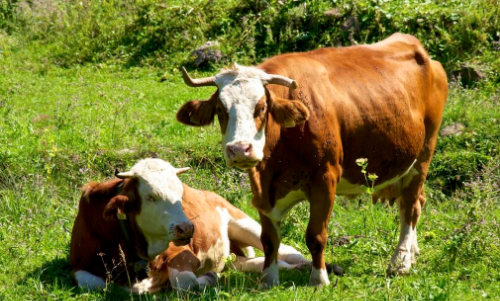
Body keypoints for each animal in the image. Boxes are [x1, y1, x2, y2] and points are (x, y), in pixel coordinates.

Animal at [70, 158, 328, 292]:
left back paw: (310, 269)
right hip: (233, 254)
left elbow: (184, 281)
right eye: (151, 197)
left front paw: (209, 278)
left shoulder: (182, 254)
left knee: (287, 251)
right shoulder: (78, 263)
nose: (186, 228)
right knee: (248, 262)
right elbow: (91, 283)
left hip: (243, 222)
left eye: (180, 193)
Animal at [177, 32, 450, 286]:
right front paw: (268, 279)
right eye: (220, 110)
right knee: (416, 201)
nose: (240, 149)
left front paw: (319, 279)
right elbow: (269, 239)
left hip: (424, 152)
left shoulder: (325, 179)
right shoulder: (261, 187)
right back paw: (412, 252)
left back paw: (400, 261)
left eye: (262, 107)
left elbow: (316, 236)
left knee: (411, 206)